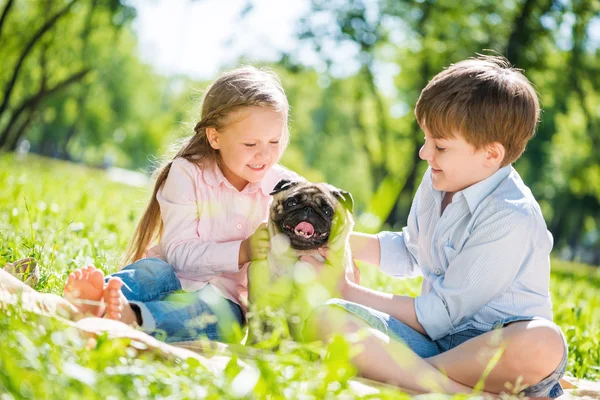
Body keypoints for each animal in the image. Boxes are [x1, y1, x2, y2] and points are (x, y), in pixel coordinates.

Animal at [247, 180, 356, 346]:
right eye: (291, 203)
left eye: (327, 211)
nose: (308, 209)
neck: (294, 255)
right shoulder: (258, 303)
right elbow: (256, 330)